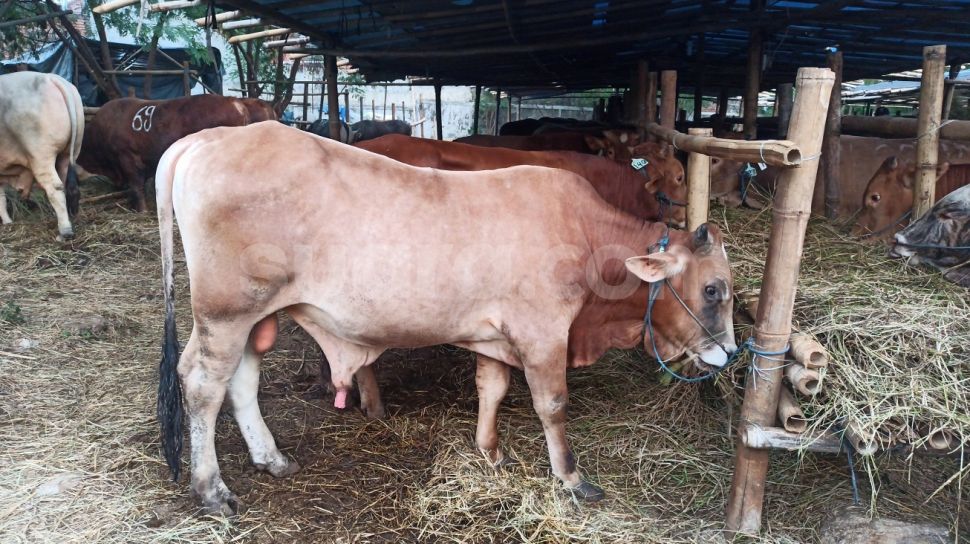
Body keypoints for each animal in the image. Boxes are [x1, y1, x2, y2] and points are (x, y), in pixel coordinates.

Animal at [0, 72, 84, 240]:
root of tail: (52, 78)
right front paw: (7, 222)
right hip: (68, 154)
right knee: (64, 184)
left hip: (41, 156)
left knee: (55, 188)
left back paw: (65, 231)